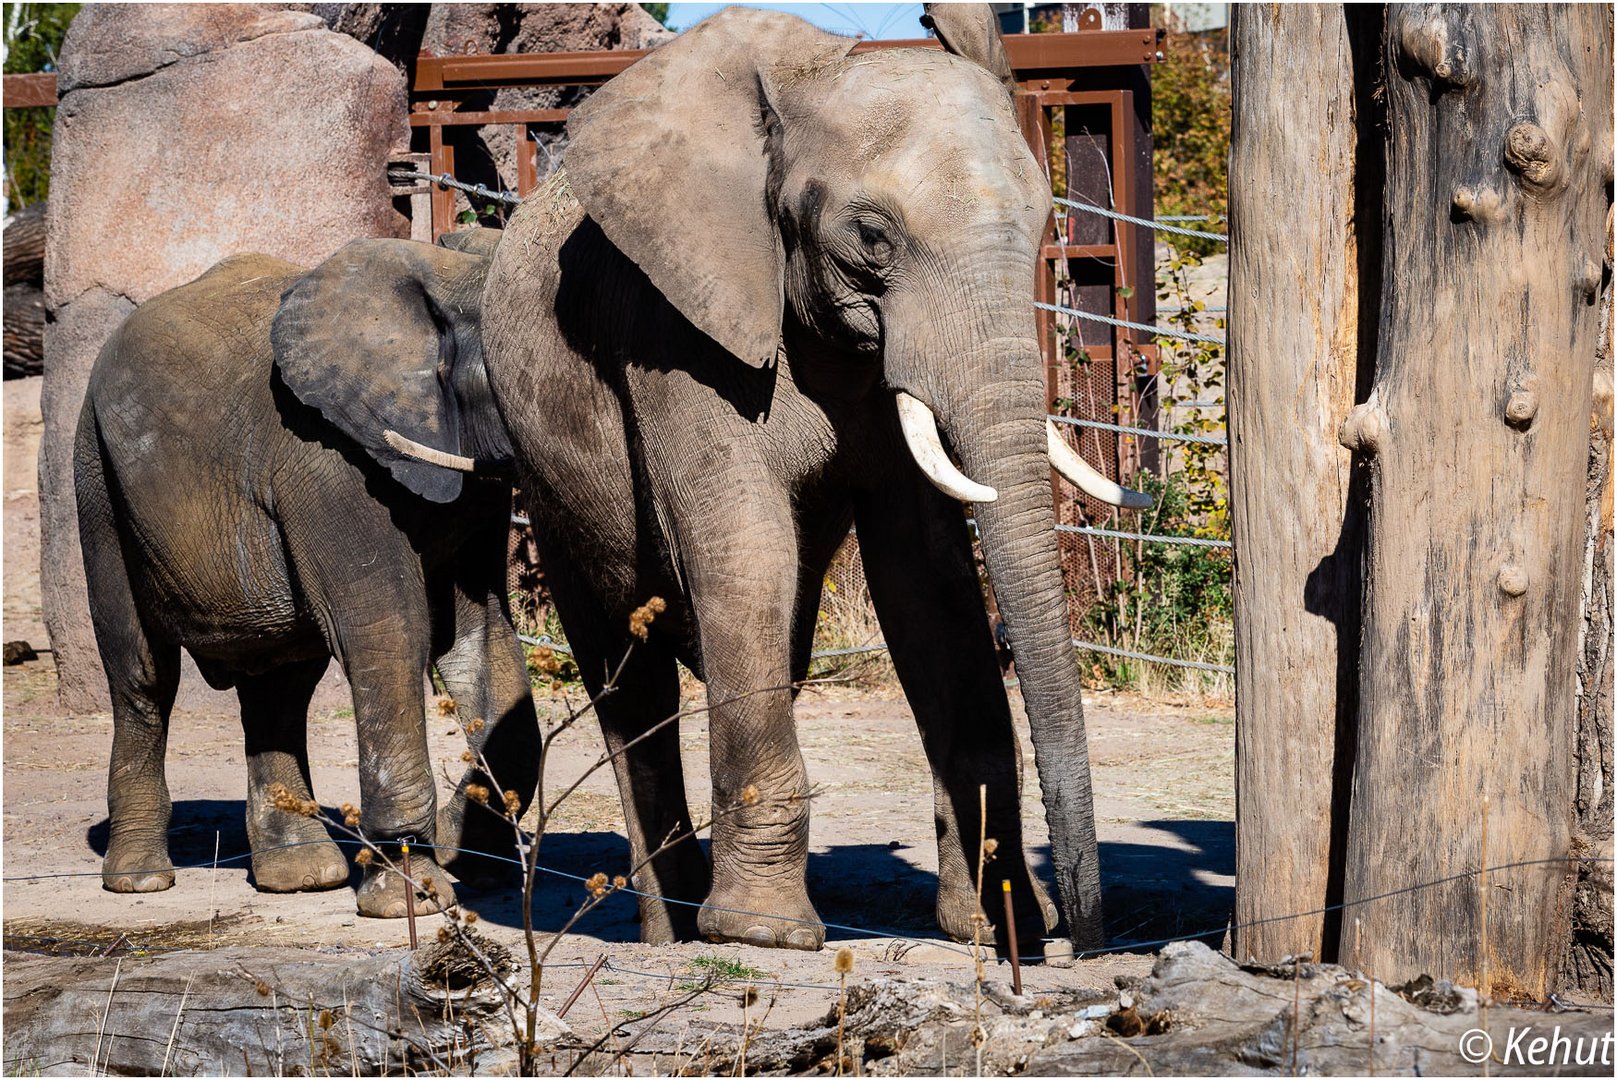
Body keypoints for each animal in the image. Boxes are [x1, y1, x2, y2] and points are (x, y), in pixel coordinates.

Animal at [77, 229, 536, 918]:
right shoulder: (326, 460)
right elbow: (389, 631)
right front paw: (415, 898)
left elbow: (481, 640)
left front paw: (465, 849)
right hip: (94, 476)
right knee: (143, 675)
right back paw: (140, 879)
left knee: (280, 684)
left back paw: (302, 875)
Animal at [287, 4, 1151, 950]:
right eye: (873, 237)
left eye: (1043, 223)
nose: (1086, 939)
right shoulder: (671, 329)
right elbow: (745, 550)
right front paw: (761, 934)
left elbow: (925, 577)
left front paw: (998, 930)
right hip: (552, 480)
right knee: (626, 667)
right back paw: (668, 927)